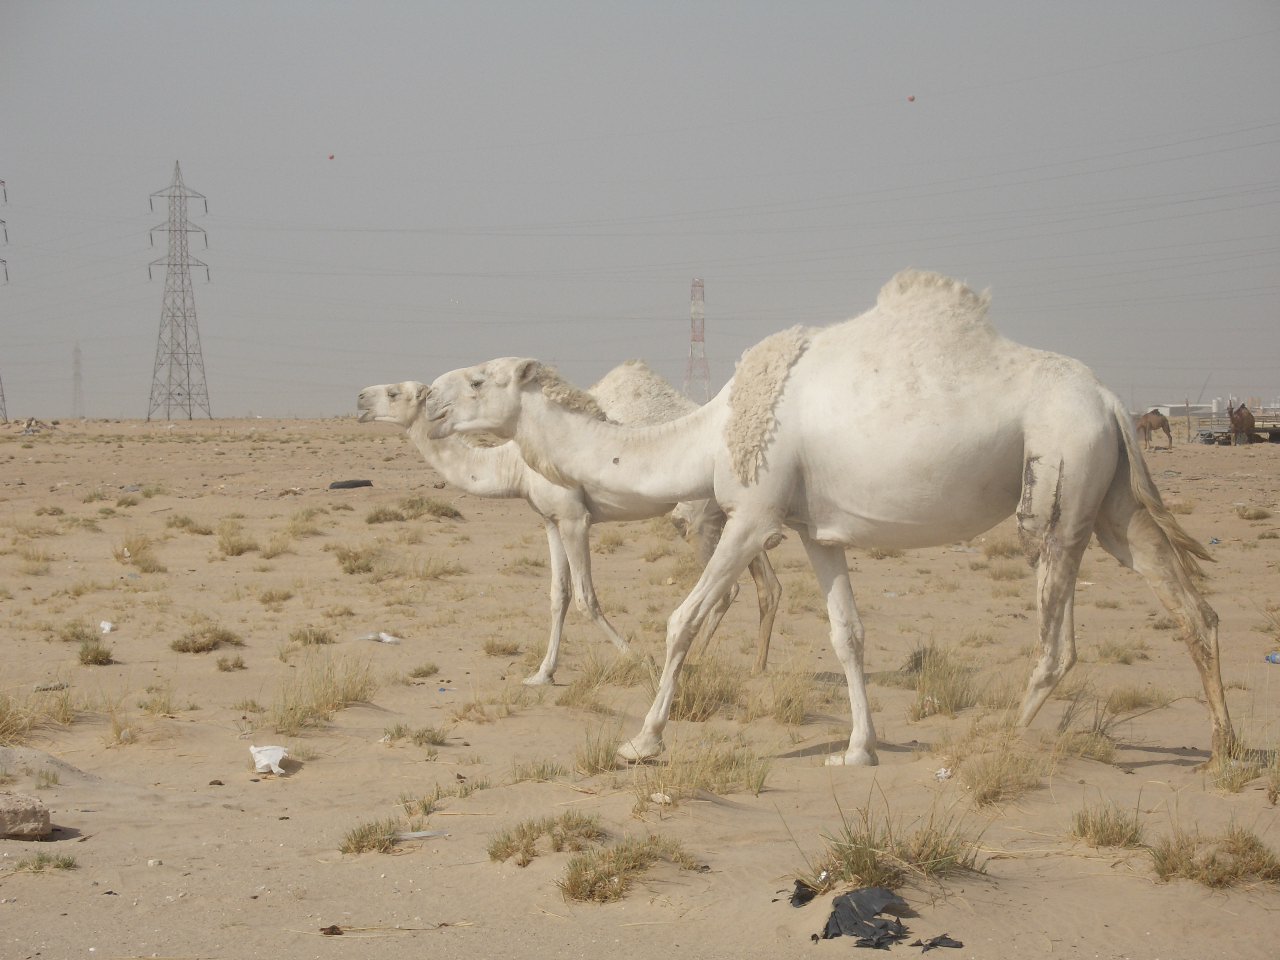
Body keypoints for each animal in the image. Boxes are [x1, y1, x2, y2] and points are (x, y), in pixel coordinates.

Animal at [357, 367, 779, 686]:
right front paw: (542, 674)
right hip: (737, 514)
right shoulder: (550, 518)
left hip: (698, 519)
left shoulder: (576, 517)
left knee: (728, 589)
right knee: (768, 586)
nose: (360, 398)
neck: (511, 463)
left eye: (393, 393)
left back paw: (696, 663)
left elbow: (584, 597)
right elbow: (558, 595)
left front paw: (639, 660)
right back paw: (756, 668)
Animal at [421, 269, 1234, 768]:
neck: (710, 427)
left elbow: (683, 619)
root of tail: (1112, 401)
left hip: (1060, 479)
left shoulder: (753, 513)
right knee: (1190, 605)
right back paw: (1224, 746)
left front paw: (643, 741)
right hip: (1110, 497)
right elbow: (848, 635)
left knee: (1060, 633)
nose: (426, 399)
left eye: (478, 380)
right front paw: (858, 749)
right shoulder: (816, 531)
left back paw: (997, 737)